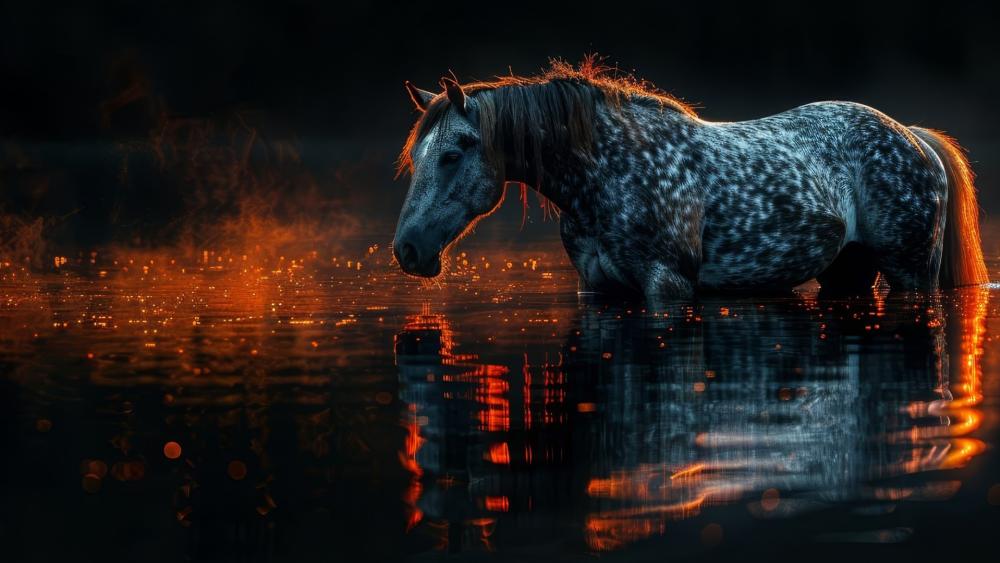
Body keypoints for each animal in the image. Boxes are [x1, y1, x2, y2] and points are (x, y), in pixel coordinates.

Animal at [392, 59, 988, 301]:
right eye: (416, 157)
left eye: (453, 154)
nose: (407, 250)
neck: (606, 173)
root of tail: (911, 136)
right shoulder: (598, 288)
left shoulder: (668, 286)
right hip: (849, 273)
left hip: (912, 272)